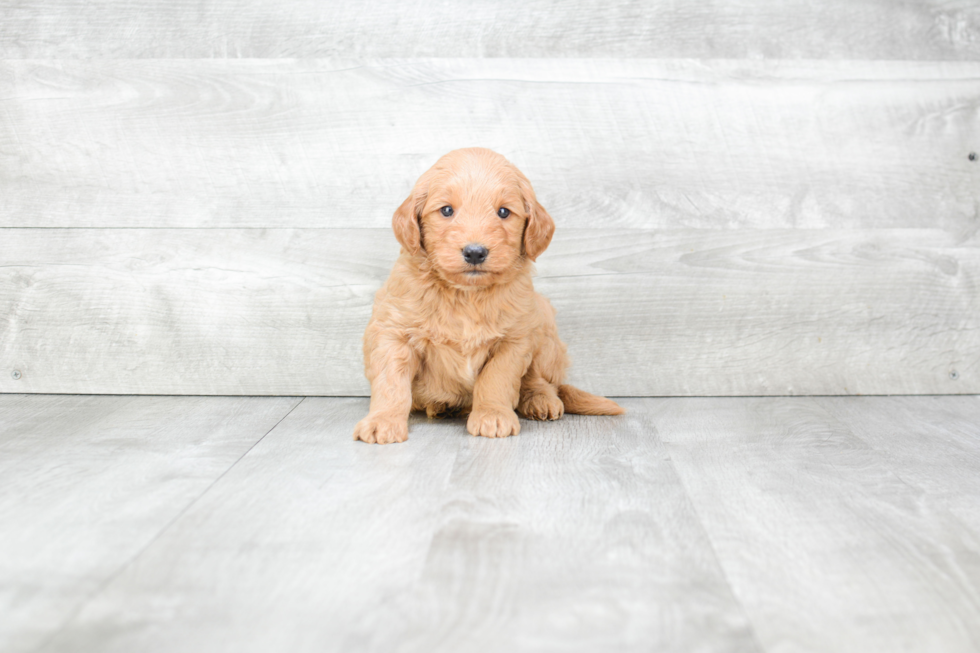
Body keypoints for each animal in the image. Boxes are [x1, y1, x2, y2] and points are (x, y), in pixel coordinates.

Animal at [356, 148, 624, 444]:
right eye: (446, 210)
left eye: (504, 212)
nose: (475, 252)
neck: (467, 295)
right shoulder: (393, 331)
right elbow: (392, 381)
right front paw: (383, 420)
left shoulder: (515, 339)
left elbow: (497, 378)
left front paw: (492, 415)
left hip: (543, 321)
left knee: (542, 381)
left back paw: (540, 400)